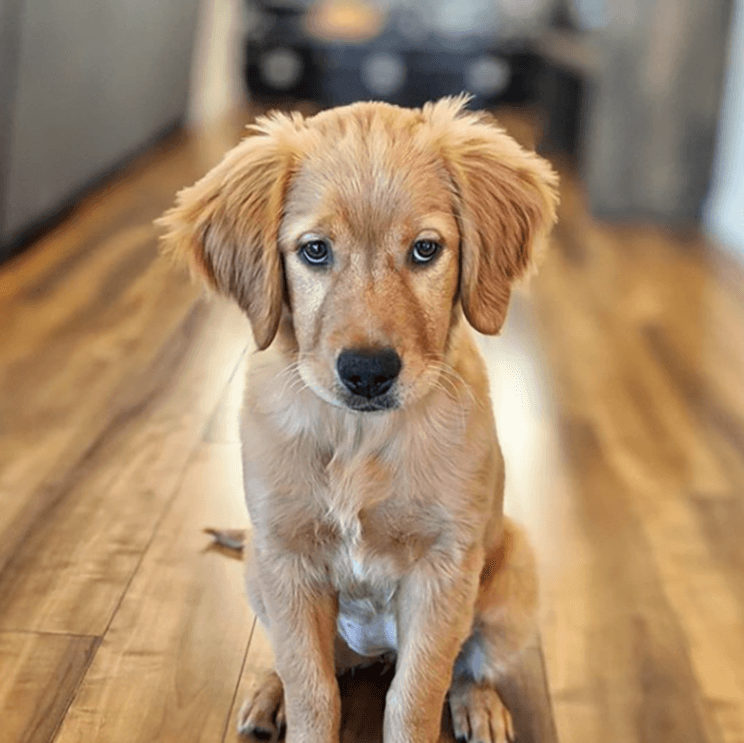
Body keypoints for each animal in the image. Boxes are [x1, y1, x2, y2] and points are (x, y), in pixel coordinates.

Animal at [158, 99, 560, 743]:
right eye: (315, 251)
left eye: (425, 250)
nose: (368, 372)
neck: (358, 436)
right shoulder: (286, 558)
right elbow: (312, 688)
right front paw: (294, 705)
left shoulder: (442, 568)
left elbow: (415, 696)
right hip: (256, 571)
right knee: (308, 664)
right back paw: (268, 693)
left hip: (516, 575)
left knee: (469, 664)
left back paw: (478, 704)